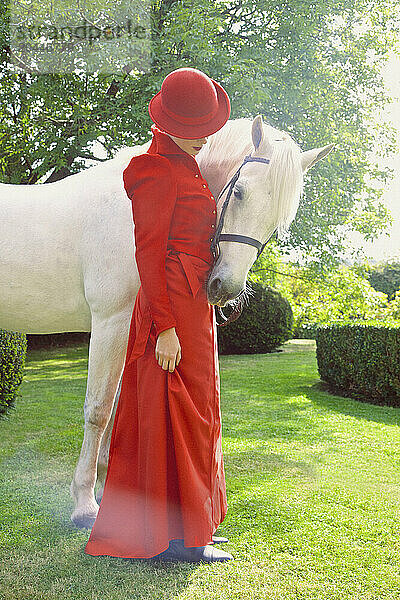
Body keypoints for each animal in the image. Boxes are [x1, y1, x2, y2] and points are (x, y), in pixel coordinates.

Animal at [0, 113, 332, 524]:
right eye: (240, 192)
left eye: (278, 221)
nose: (225, 288)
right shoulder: (111, 322)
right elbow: (99, 409)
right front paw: (84, 503)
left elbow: (116, 406)